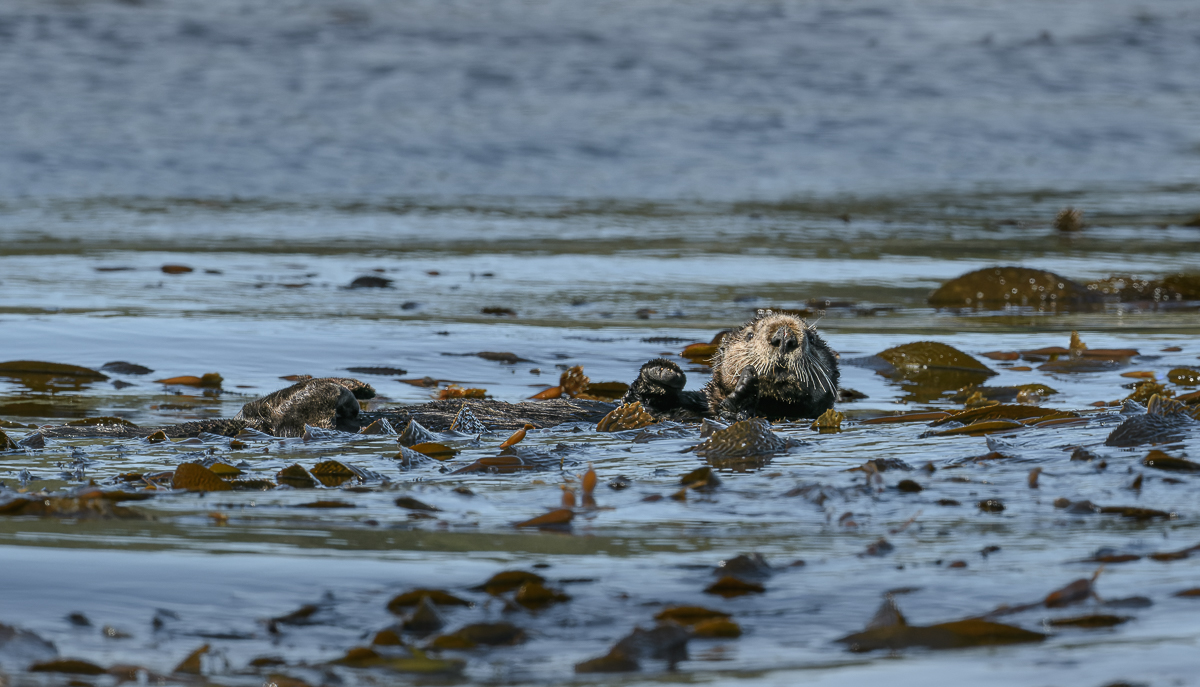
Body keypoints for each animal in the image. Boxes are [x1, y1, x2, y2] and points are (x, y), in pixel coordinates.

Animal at [624, 309, 840, 417]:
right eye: (750, 335)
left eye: (812, 339)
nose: (785, 336)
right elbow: (636, 404)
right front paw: (660, 374)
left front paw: (745, 388)